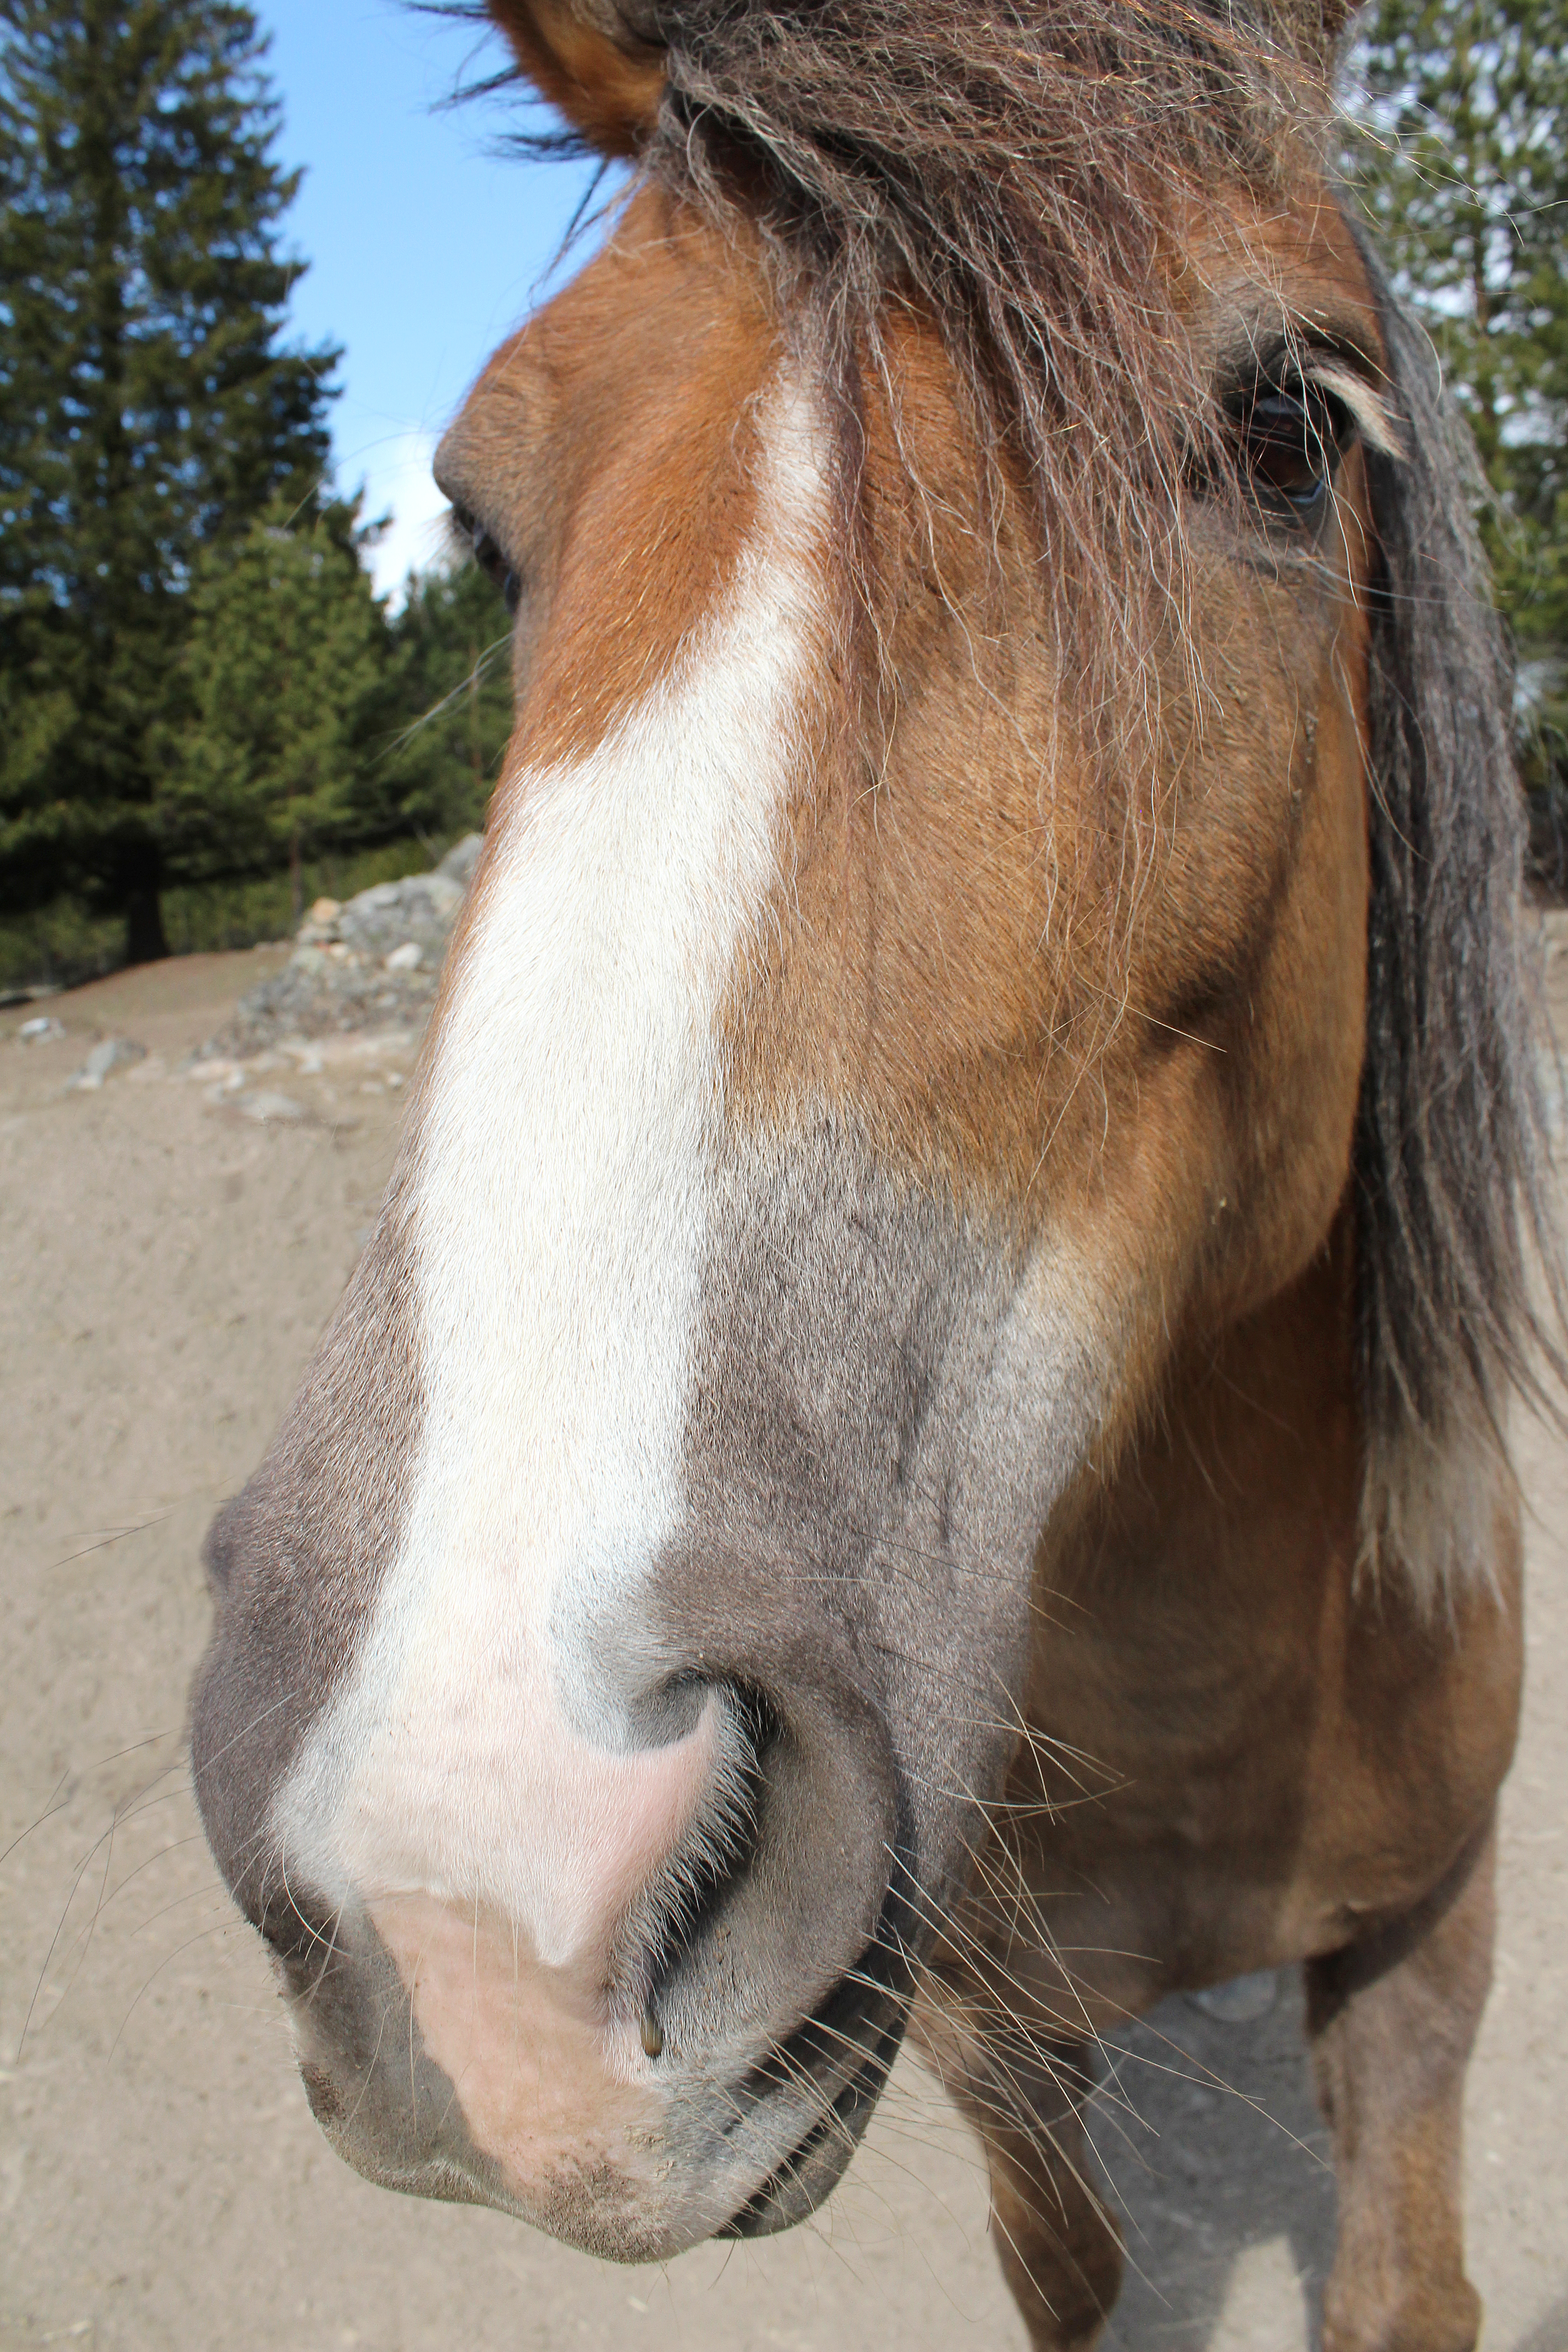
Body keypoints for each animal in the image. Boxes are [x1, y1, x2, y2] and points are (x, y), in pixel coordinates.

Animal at [190, 5, 1561, 2333]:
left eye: (1284, 425)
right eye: (472, 518)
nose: (470, 1853)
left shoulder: (1418, 1938)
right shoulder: (986, 2035)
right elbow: (1072, 2269)